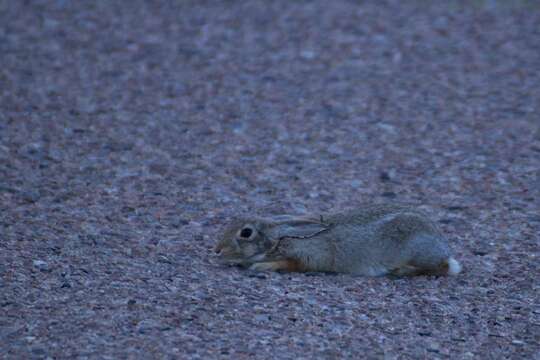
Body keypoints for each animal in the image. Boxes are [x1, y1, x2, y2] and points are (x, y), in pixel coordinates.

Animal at [213, 204, 462, 278]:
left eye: (246, 233)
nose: (216, 250)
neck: (279, 239)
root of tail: (444, 249)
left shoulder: (309, 256)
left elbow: (291, 263)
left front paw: (263, 266)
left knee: (439, 268)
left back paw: (401, 271)